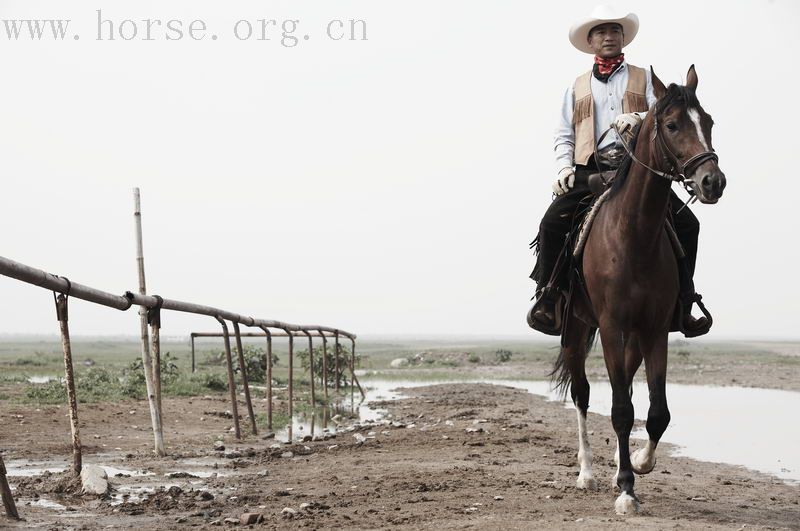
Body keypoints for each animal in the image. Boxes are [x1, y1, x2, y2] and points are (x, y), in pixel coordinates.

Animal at [552, 65, 728, 516]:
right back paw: (587, 472)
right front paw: (627, 491)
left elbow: (657, 411)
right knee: (581, 394)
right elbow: (618, 410)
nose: (712, 182)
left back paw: (618, 462)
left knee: (627, 384)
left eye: (709, 122)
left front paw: (638, 464)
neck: (633, 234)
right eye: (672, 125)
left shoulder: (654, 330)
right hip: (577, 329)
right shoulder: (611, 327)